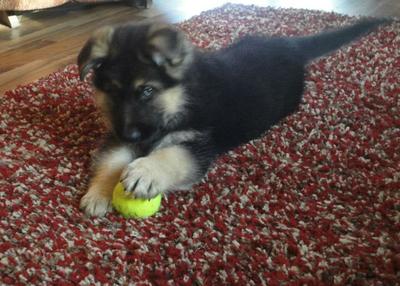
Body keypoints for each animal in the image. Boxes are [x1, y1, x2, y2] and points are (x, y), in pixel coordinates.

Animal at [78, 19, 388, 216]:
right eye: (111, 92)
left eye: (147, 91)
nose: (130, 135)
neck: (181, 99)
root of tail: (289, 46)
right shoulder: (119, 137)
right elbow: (112, 161)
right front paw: (98, 194)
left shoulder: (199, 144)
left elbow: (172, 155)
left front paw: (145, 171)